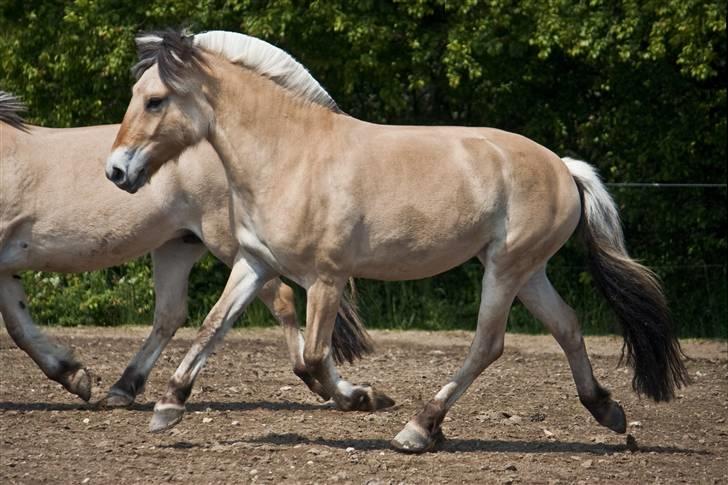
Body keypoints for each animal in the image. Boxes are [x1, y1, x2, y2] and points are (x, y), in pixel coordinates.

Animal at [0, 90, 384, 408]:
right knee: (169, 316)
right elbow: (19, 327)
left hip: (231, 245)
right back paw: (123, 388)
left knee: (281, 298)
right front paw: (74, 376)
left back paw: (316, 380)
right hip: (178, 247)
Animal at [105, 30, 684, 452]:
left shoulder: (327, 277)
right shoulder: (256, 263)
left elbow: (313, 358)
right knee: (566, 325)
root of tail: (564, 168)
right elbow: (212, 327)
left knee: (488, 343)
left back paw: (420, 429)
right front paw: (168, 405)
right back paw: (607, 411)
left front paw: (365, 398)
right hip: (529, 271)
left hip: (505, 269)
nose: (116, 172)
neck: (291, 155)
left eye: (154, 100)